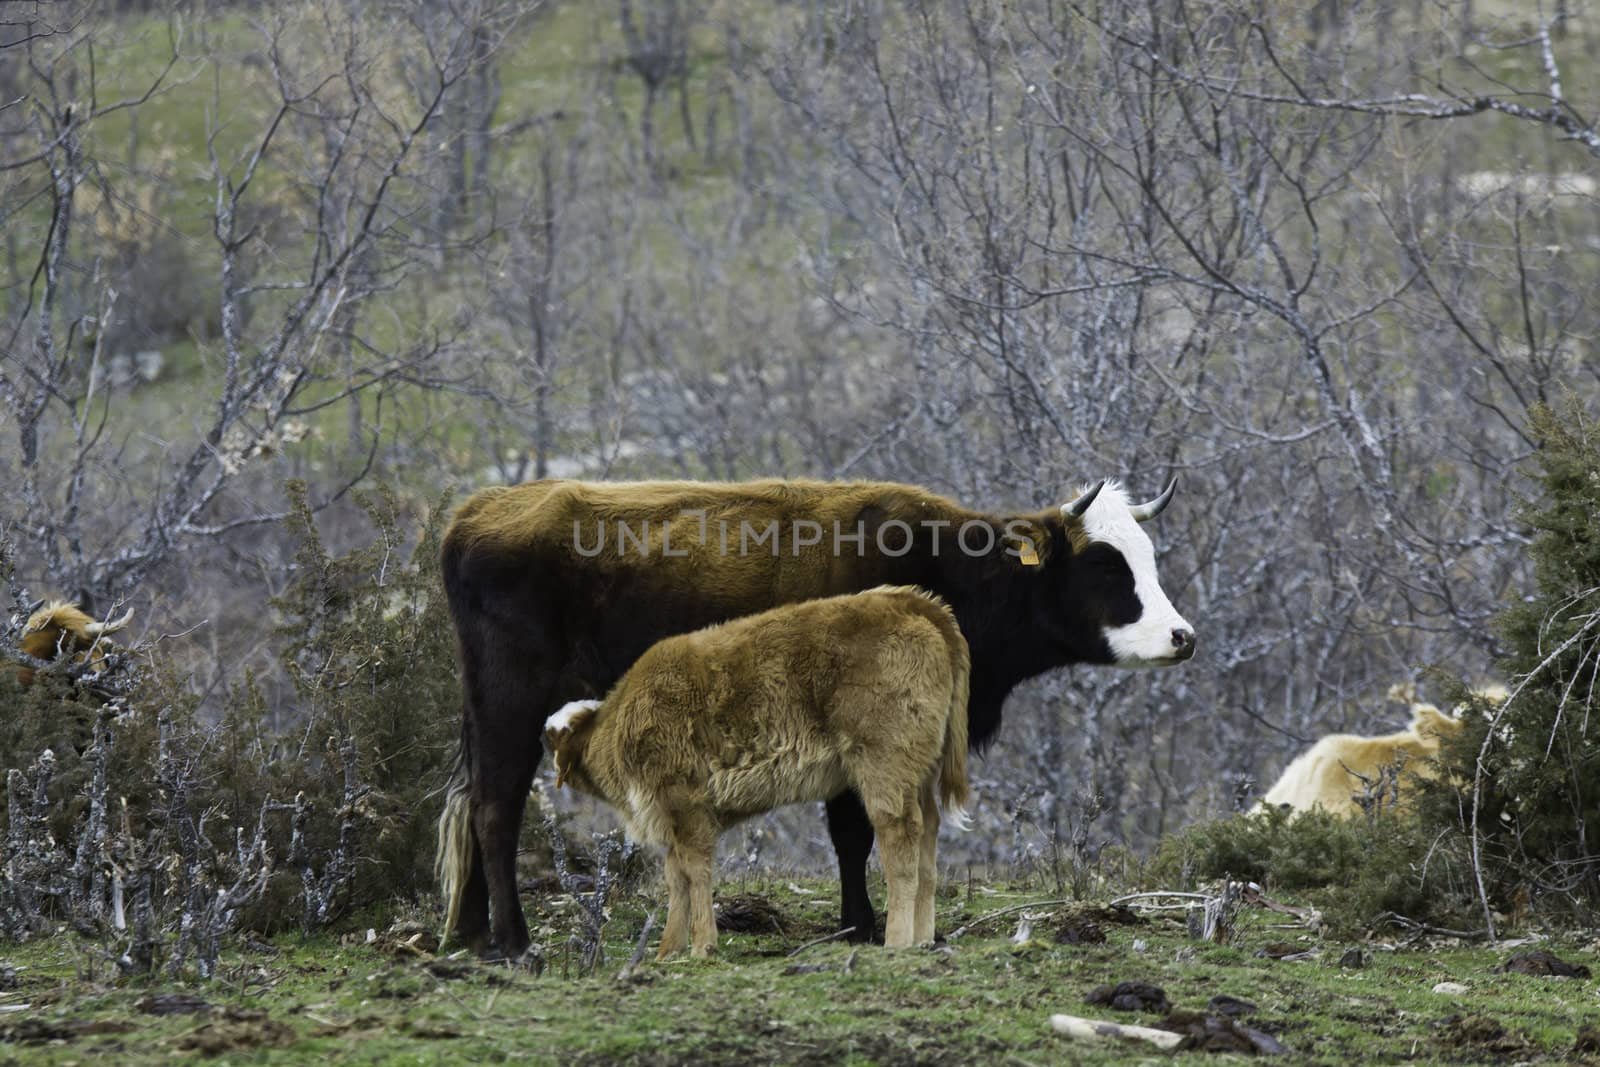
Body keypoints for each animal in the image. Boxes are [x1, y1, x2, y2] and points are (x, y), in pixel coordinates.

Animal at [544, 588, 966, 953]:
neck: (617, 725)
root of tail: (909, 601)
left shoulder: (686, 806)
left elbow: (695, 872)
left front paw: (702, 946)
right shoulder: (673, 819)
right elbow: (675, 877)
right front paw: (667, 949)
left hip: (884, 765)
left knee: (900, 834)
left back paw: (897, 940)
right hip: (919, 770)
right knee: (928, 834)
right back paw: (924, 937)